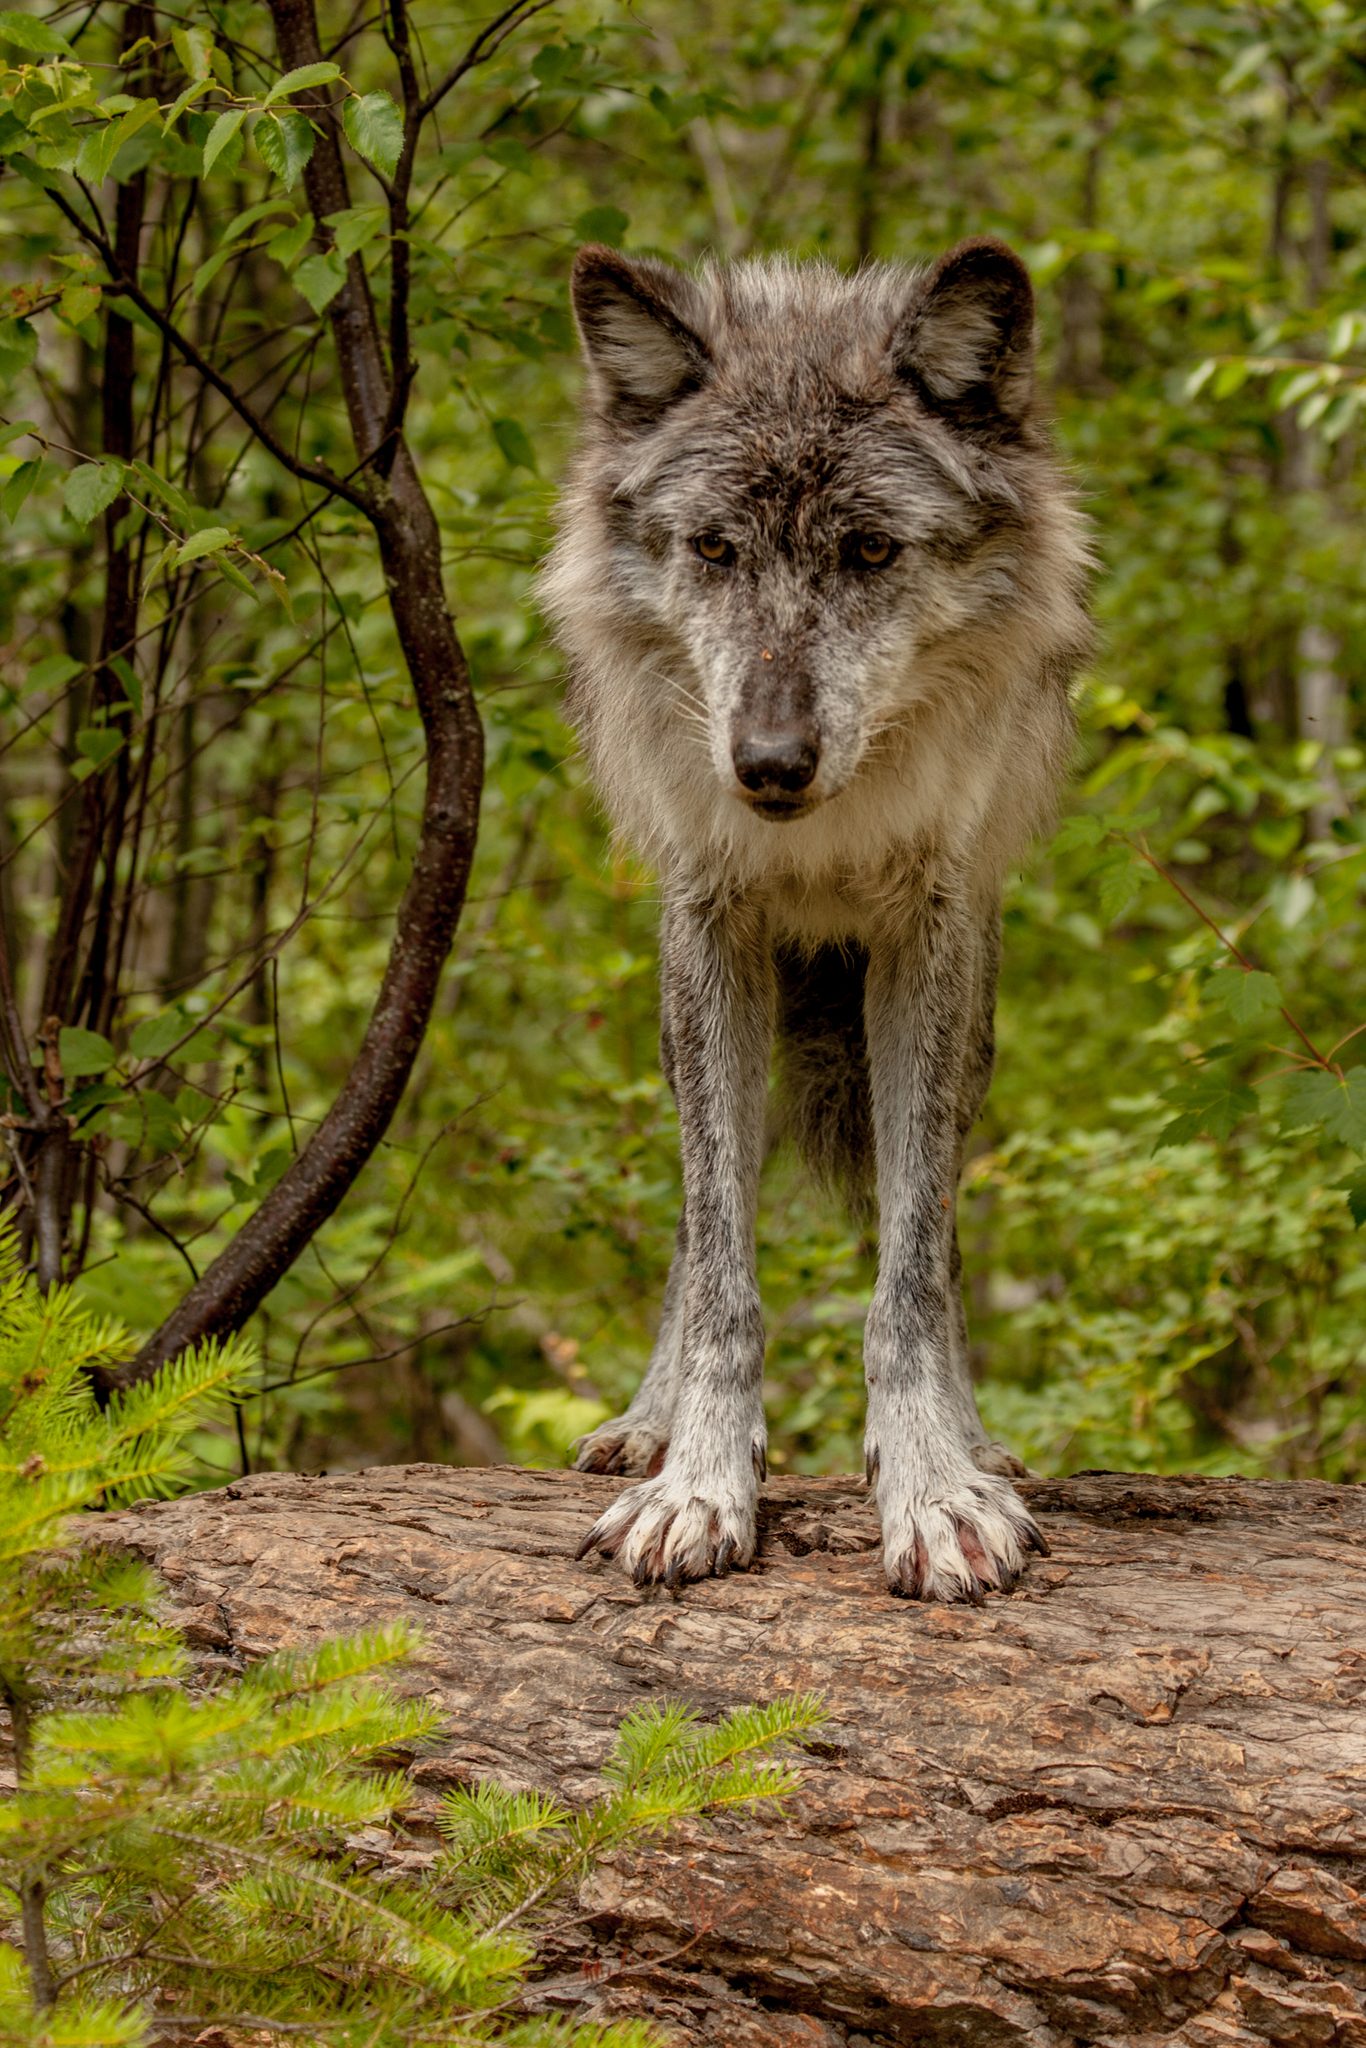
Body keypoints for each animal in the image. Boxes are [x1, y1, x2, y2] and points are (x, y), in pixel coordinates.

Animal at [539, 237, 1091, 1601]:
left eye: (872, 552)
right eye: (715, 550)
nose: (769, 763)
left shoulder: (924, 939)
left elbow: (910, 1276)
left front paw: (937, 1483)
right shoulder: (710, 928)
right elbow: (720, 1267)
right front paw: (696, 1479)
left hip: (970, 1025)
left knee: (936, 1239)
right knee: (696, 1228)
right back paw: (647, 1424)